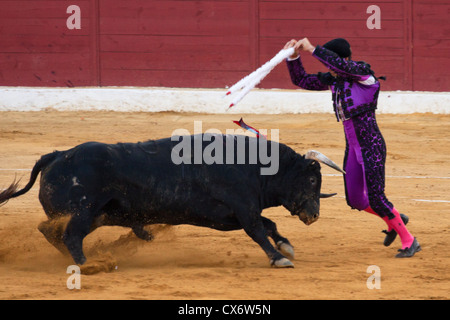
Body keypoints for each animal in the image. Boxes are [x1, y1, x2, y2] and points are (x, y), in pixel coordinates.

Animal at [0, 134, 344, 268]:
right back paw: (90, 264)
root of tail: (58, 154)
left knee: (52, 232)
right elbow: (259, 231)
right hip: (84, 212)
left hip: (95, 215)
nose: (313, 215)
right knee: (69, 234)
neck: (254, 166)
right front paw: (278, 258)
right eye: (312, 180)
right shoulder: (243, 211)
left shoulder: (230, 216)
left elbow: (269, 224)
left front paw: (287, 246)